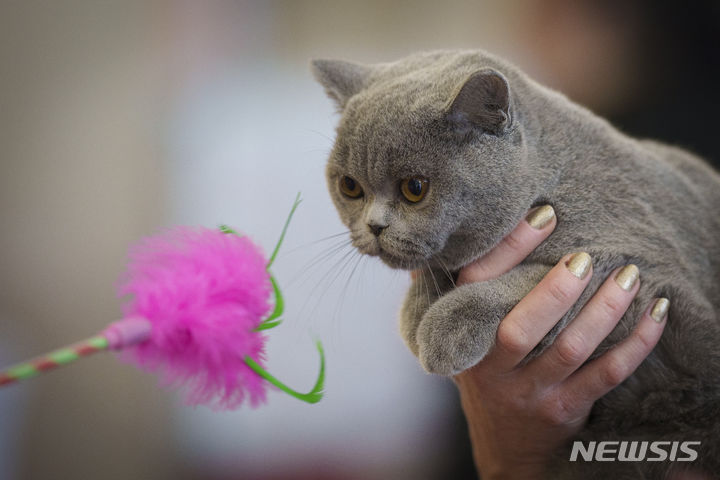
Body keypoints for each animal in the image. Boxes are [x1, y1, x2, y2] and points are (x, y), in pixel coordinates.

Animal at [312, 50, 720, 478]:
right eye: (350, 187)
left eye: (415, 188)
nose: (374, 226)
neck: (549, 185)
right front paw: (417, 313)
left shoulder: (639, 273)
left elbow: (533, 277)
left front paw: (442, 331)